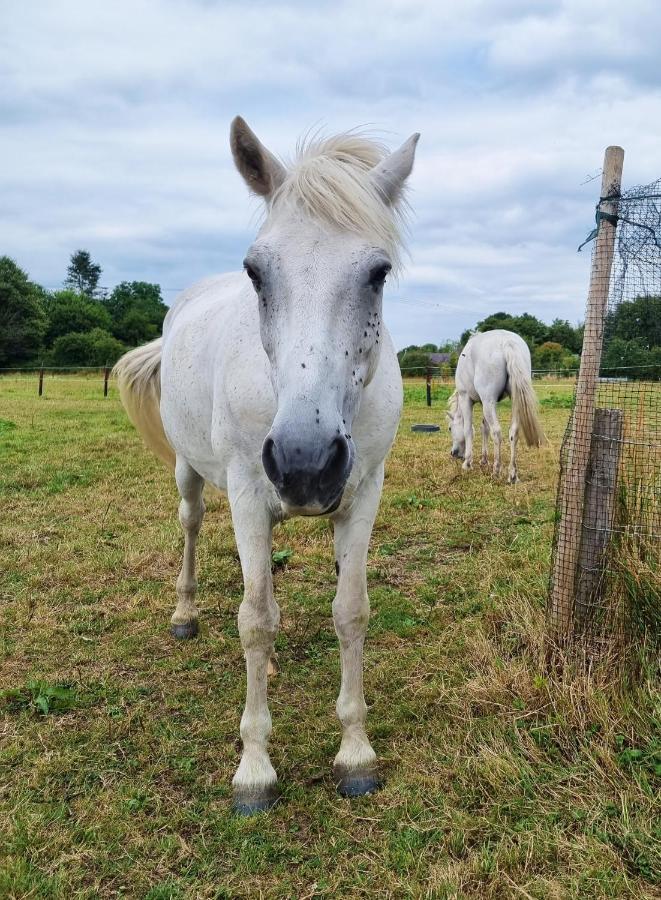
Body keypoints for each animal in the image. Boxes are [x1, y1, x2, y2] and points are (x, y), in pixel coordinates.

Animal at [113, 118, 418, 816]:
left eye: (379, 272)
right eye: (255, 271)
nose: (306, 463)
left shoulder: (363, 493)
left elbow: (351, 610)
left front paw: (355, 754)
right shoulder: (251, 492)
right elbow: (254, 622)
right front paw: (254, 768)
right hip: (197, 476)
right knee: (194, 527)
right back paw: (185, 615)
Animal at [446, 328, 544, 482]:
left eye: (450, 428)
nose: (454, 453)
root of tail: (507, 342)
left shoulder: (466, 398)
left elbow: (468, 430)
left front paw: (467, 463)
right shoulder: (485, 403)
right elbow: (484, 428)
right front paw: (484, 460)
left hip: (488, 402)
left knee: (497, 432)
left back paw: (496, 470)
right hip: (512, 400)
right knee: (513, 432)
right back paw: (512, 475)